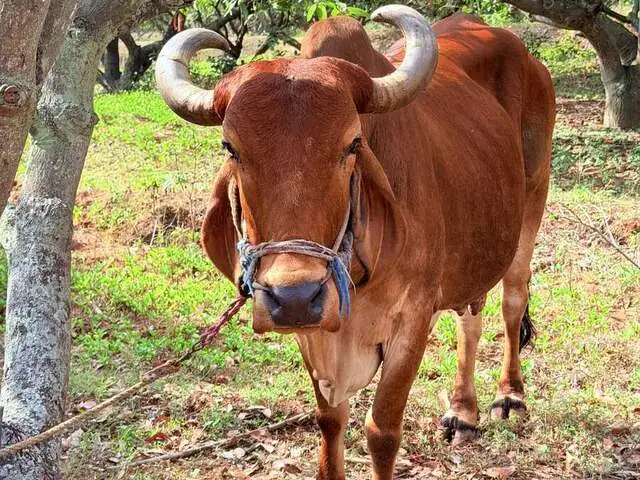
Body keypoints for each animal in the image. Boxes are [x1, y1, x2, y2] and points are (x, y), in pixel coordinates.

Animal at [155, 5, 555, 479]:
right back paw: (463, 412)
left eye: (353, 142)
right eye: (230, 147)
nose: (295, 297)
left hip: (533, 201)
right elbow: (330, 420)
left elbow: (381, 432)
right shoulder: (315, 336)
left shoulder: (412, 319)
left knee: (513, 299)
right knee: (470, 317)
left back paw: (510, 396)